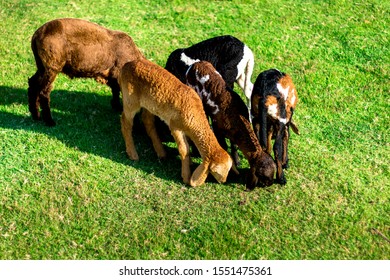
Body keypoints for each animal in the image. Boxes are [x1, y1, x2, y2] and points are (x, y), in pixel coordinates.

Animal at [119, 58, 233, 187]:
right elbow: (184, 149)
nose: (223, 181)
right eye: (217, 172)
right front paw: (186, 177)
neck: (194, 113)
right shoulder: (175, 127)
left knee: (147, 121)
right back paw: (132, 154)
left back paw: (161, 152)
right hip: (130, 100)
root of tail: (126, 66)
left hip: (150, 105)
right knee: (126, 122)